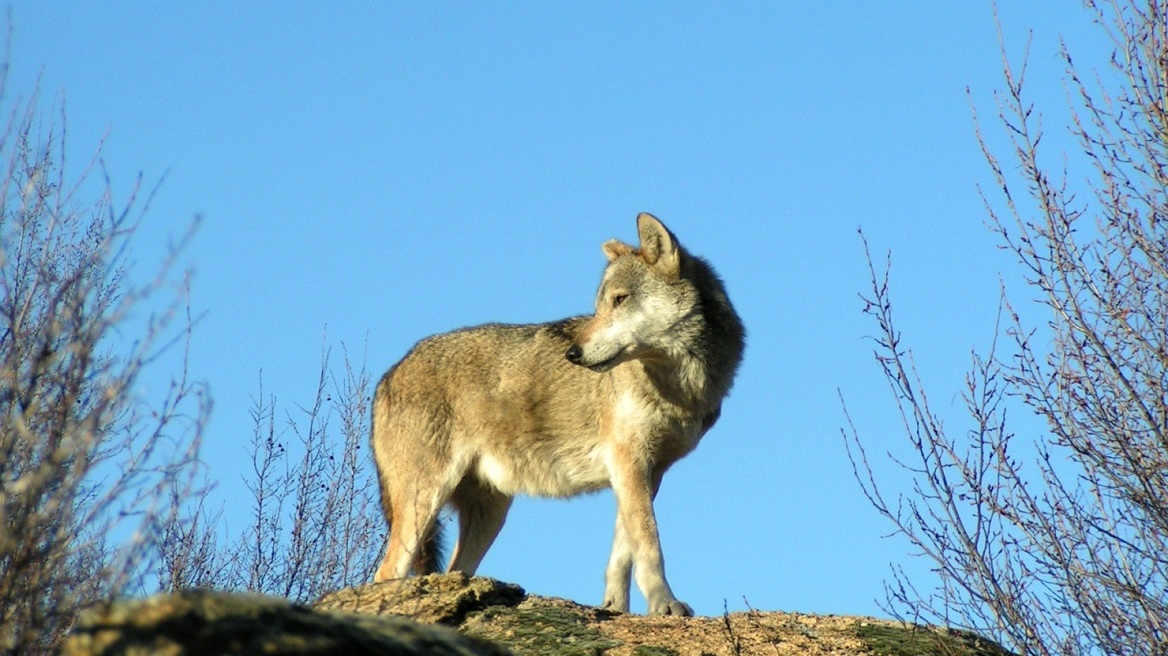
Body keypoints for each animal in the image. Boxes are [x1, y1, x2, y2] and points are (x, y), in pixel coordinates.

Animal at [369, 213, 742, 611]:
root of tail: (387, 376)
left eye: (620, 300)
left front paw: (614, 609)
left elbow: (622, 554)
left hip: (490, 514)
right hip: (424, 503)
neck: (680, 386)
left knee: (450, 570)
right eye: (599, 306)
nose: (573, 354)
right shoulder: (629, 461)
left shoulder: (645, 471)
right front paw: (664, 604)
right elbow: (649, 545)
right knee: (386, 573)